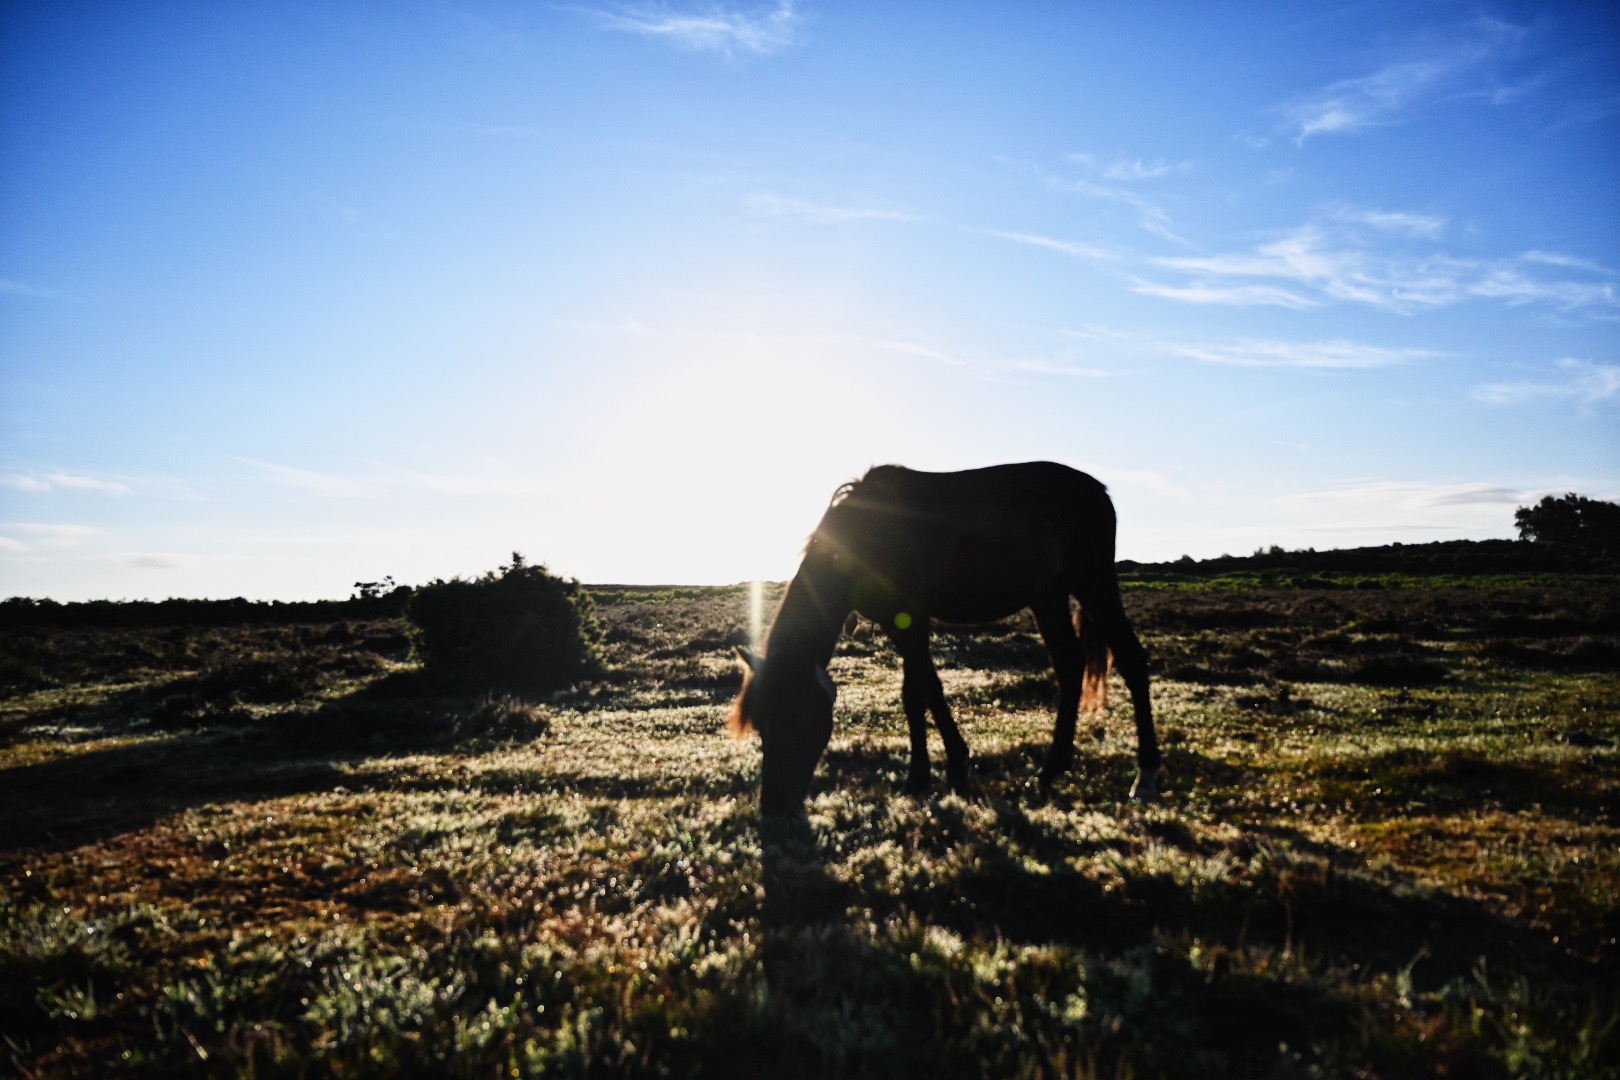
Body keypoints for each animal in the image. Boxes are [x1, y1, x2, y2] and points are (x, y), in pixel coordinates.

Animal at [729, 459, 1159, 816]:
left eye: (795, 715)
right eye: (761, 722)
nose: (772, 806)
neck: (865, 537)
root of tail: (1100, 492)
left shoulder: (910, 620)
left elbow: (929, 690)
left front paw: (955, 767)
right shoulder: (898, 623)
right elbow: (913, 695)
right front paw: (918, 777)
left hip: (1093, 585)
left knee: (1131, 659)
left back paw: (1146, 776)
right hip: (1048, 596)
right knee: (1069, 664)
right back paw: (1052, 769)